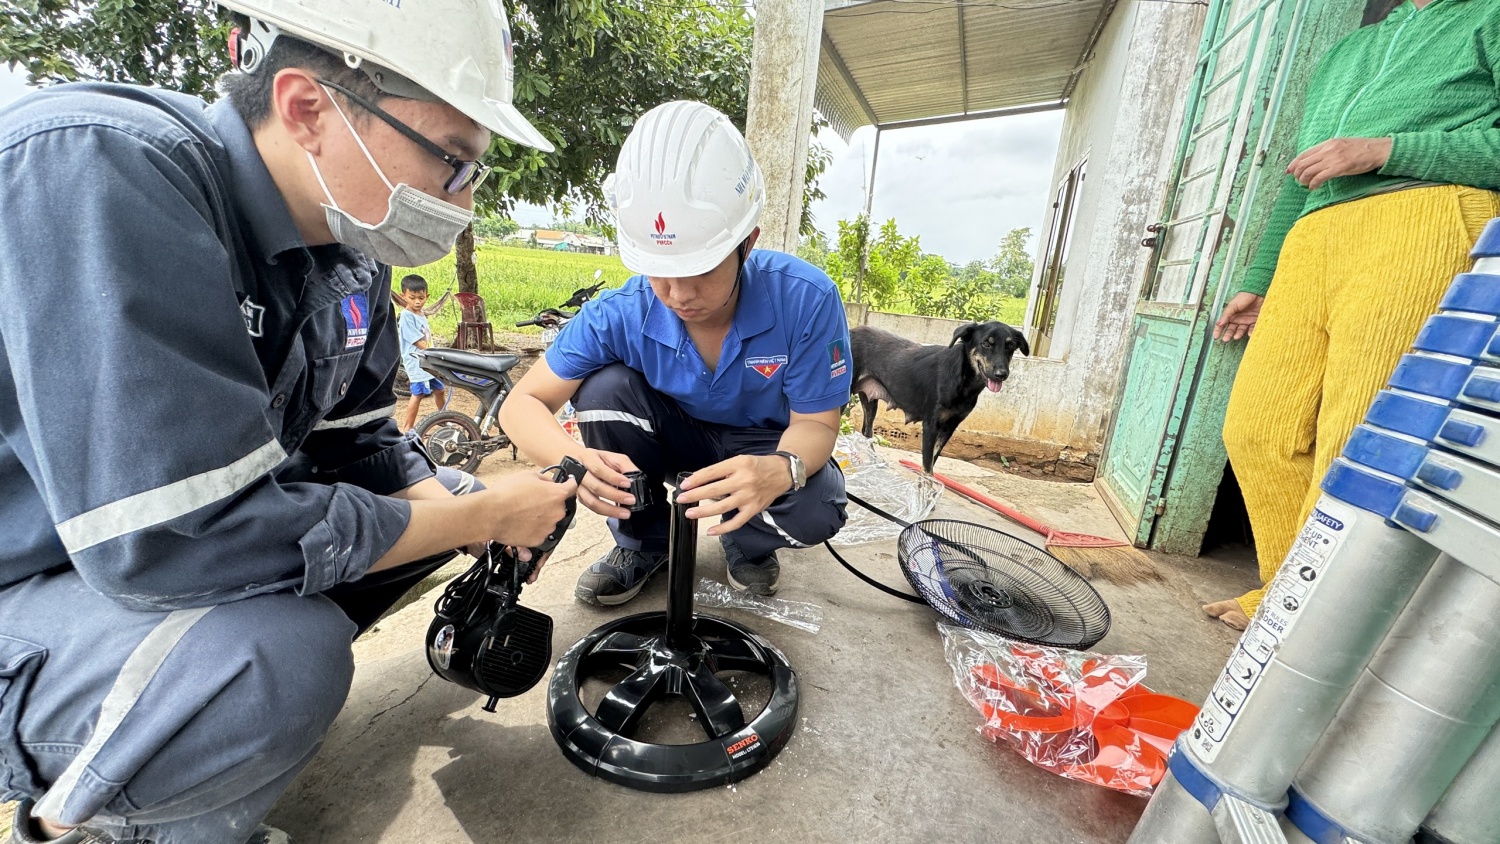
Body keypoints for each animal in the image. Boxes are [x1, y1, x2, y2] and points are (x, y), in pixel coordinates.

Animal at [852, 320, 1026, 473]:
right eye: (986, 344)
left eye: (1010, 346)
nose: (1002, 374)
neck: (964, 381)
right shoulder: (931, 425)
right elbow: (927, 469)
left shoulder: (950, 426)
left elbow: (932, 463)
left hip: (870, 402)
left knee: (866, 432)